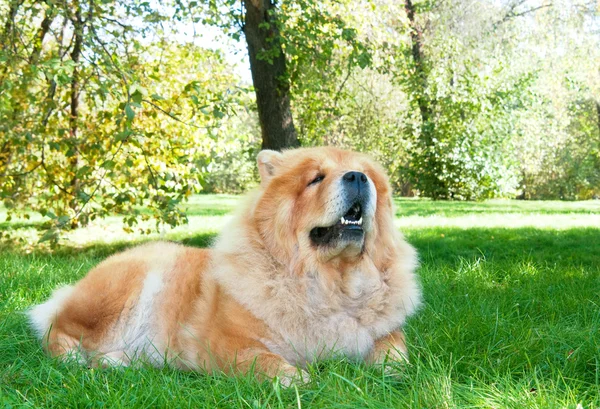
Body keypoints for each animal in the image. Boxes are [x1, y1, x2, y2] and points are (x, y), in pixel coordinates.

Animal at [29, 147, 422, 382]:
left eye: (364, 174)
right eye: (315, 179)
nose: (357, 177)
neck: (331, 283)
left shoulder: (385, 333)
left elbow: (394, 351)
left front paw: (392, 372)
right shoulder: (226, 343)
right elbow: (264, 361)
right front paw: (299, 378)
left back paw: (120, 363)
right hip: (120, 291)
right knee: (56, 330)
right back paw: (77, 360)